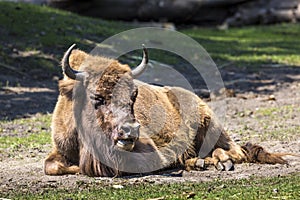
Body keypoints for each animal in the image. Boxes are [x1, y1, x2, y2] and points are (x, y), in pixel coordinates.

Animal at [44, 44, 292, 177]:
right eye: (97, 96)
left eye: (134, 95)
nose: (130, 131)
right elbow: (52, 166)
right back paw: (201, 163)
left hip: (212, 125)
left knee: (235, 152)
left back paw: (220, 161)